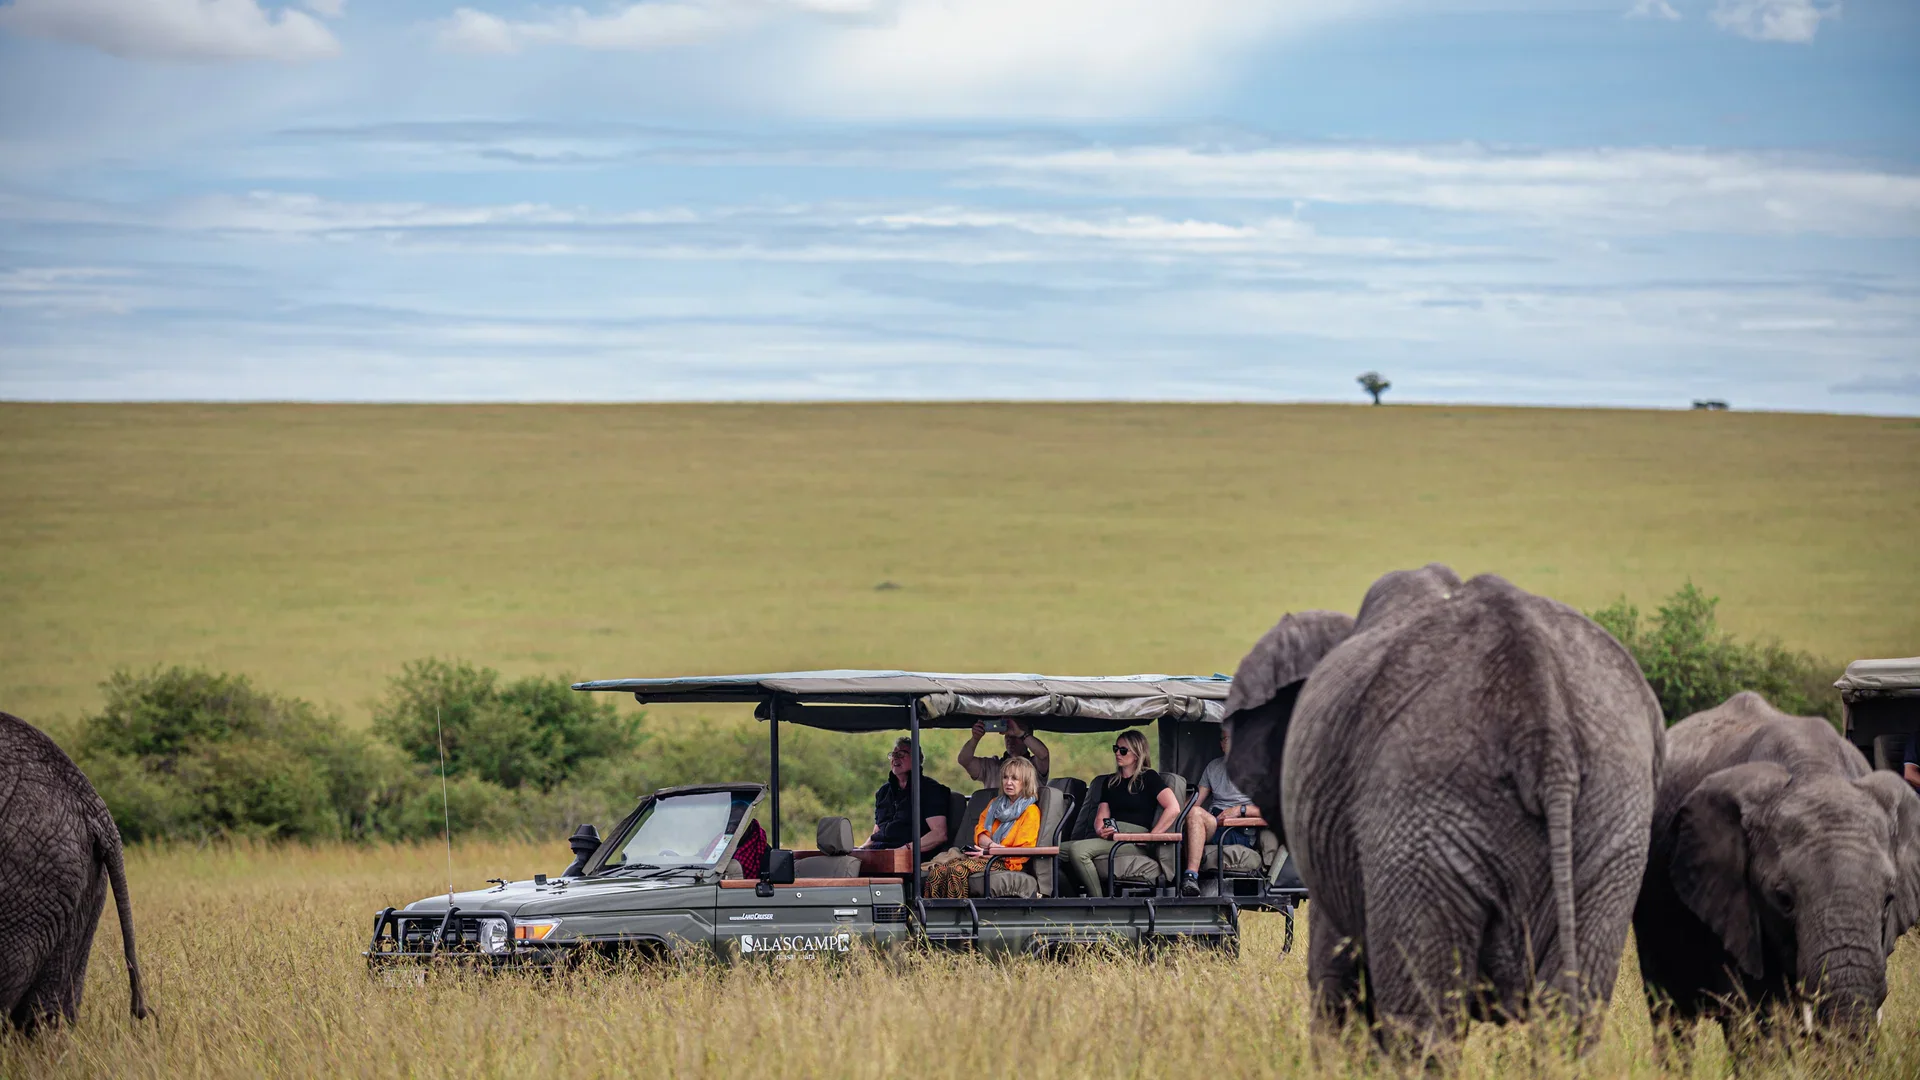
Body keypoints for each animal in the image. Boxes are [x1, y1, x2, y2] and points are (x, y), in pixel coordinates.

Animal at [1228, 564, 1664, 1055]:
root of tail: (1540, 715)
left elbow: (1335, 969)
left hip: (1420, 812)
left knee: (1424, 1019)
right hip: (1611, 808)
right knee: (1568, 1014)